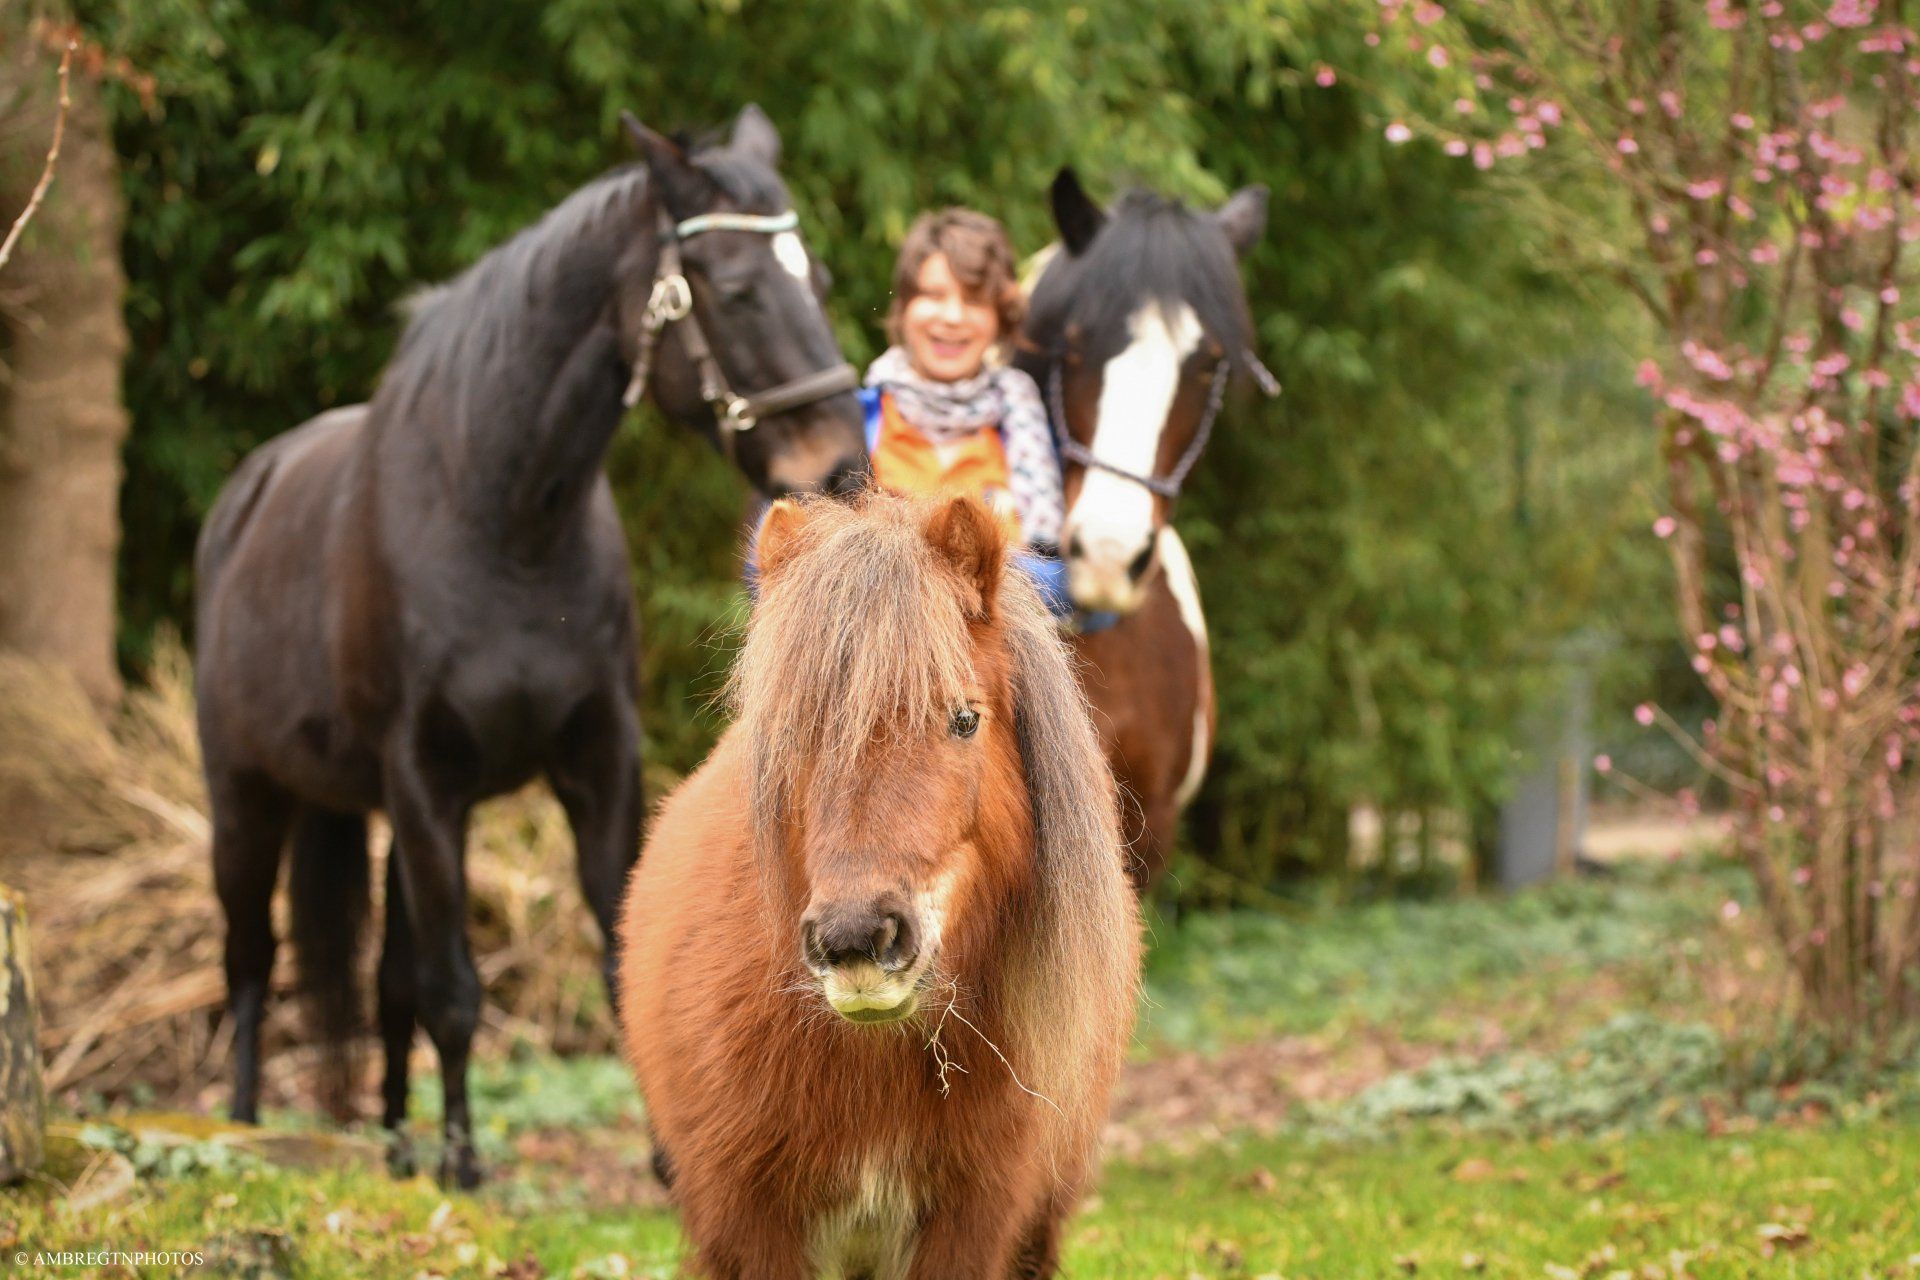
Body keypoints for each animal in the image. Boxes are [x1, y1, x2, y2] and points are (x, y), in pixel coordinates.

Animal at [193, 104, 866, 1188]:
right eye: (733, 287)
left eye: (823, 280)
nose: (838, 463)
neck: (504, 522)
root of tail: (243, 496)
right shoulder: (426, 780)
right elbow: (455, 987)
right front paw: (467, 1161)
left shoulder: (598, 761)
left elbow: (610, 943)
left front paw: (666, 1159)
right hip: (246, 800)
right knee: (252, 961)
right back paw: (247, 1129)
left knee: (385, 982)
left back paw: (397, 1145)